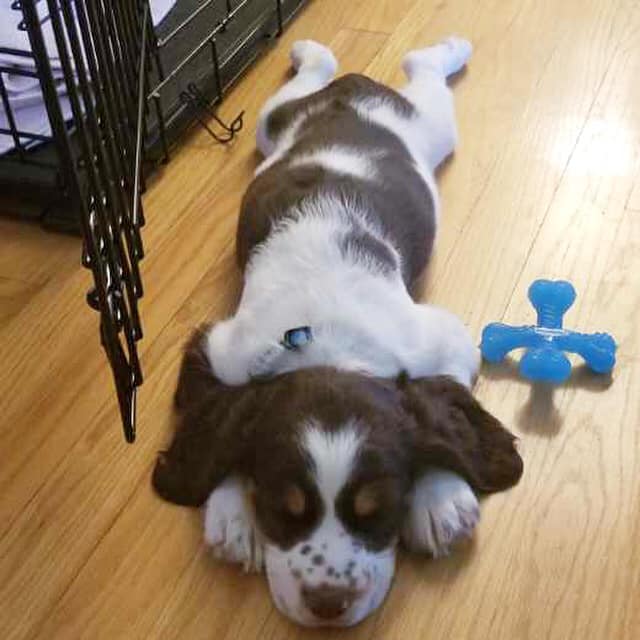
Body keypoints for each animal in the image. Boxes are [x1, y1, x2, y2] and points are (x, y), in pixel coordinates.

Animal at [152, 37, 524, 628]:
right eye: (282, 508)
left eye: (379, 510)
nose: (328, 605)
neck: (327, 345)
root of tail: (350, 92)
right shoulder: (218, 351)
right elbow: (219, 416)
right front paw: (232, 513)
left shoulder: (442, 338)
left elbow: (440, 401)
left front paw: (439, 498)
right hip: (274, 121)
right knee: (311, 82)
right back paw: (309, 51)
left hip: (428, 125)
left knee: (424, 70)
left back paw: (445, 49)